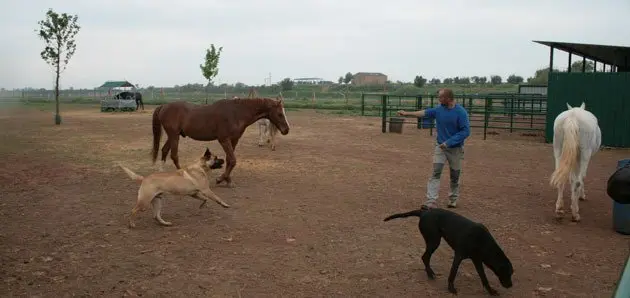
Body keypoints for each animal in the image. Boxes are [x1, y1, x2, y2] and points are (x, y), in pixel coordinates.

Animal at [152, 97, 292, 186]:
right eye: (280, 114)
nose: (286, 130)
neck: (236, 113)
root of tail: (163, 106)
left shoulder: (233, 140)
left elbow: (230, 159)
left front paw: (227, 180)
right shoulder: (224, 140)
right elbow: (233, 160)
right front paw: (220, 179)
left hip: (173, 136)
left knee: (164, 150)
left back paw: (161, 172)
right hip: (174, 136)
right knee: (174, 155)